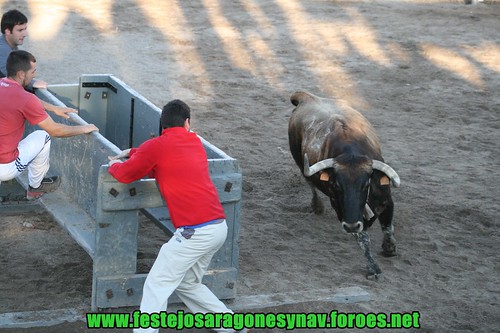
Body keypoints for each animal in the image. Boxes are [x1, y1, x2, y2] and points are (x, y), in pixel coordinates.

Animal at [288, 90, 400, 278]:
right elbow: (363, 237)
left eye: (365, 185)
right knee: (310, 183)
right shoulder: (343, 213)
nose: (351, 225)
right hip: (299, 161)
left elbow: (387, 226)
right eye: (336, 186)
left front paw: (389, 248)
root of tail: (306, 97)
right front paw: (373, 268)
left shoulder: (386, 198)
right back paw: (317, 206)